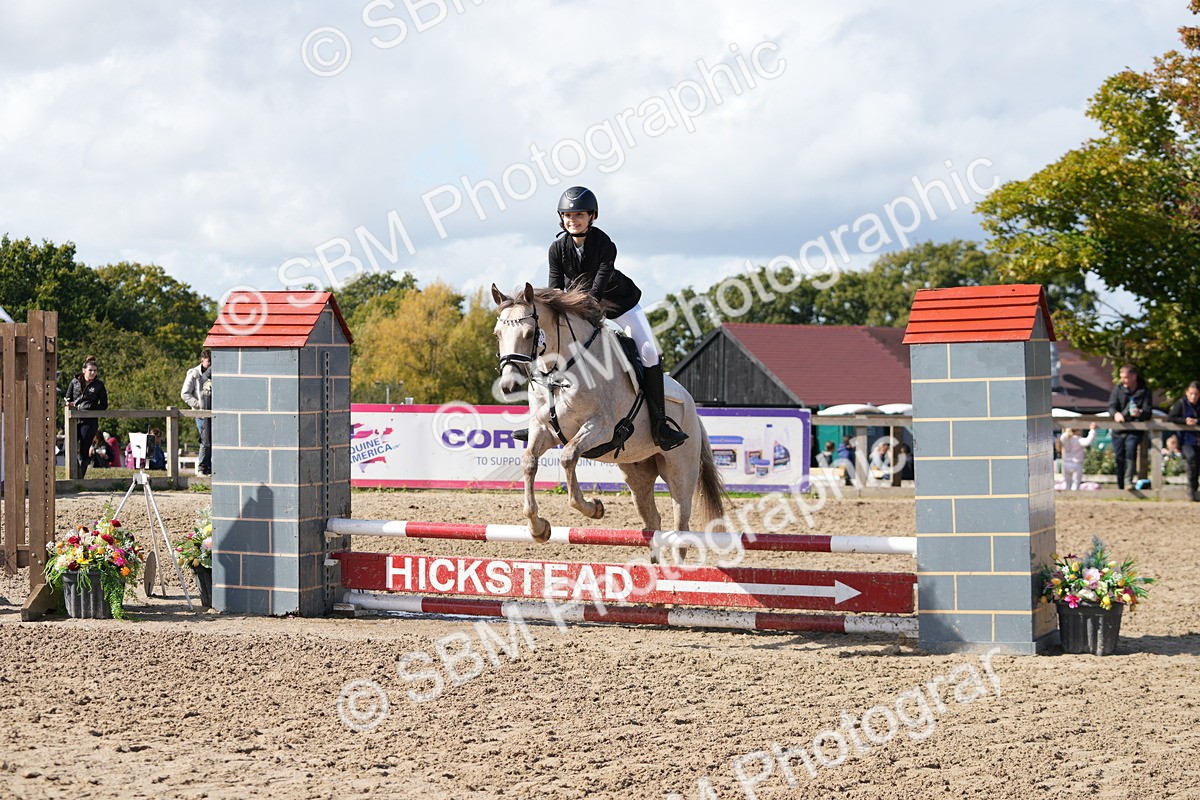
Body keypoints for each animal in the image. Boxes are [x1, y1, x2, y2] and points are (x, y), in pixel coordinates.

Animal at [491, 282, 726, 542]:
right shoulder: (543, 428)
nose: (508, 386)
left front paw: (593, 508)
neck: (560, 374)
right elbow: (529, 461)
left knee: (681, 525)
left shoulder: (600, 428)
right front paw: (538, 528)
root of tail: (693, 409)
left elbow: (568, 456)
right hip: (637, 472)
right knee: (652, 520)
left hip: (680, 472)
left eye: (529, 333)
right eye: (497, 334)